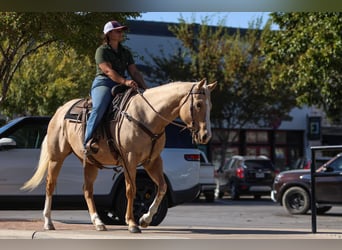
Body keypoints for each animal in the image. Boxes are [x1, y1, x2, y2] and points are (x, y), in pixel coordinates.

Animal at [20, 79, 216, 233]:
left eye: (210, 106)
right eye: (199, 104)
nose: (206, 136)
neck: (147, 116)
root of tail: (60, 110)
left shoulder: (153, 161)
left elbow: (161, 187)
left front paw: (145, 219)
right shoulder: (129, 159)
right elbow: (131, 190)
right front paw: (132, 223)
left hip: (90, 162)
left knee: (87, 190)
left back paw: (98, 222)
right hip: (57, 157)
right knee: (50, 185)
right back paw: (48, 222)